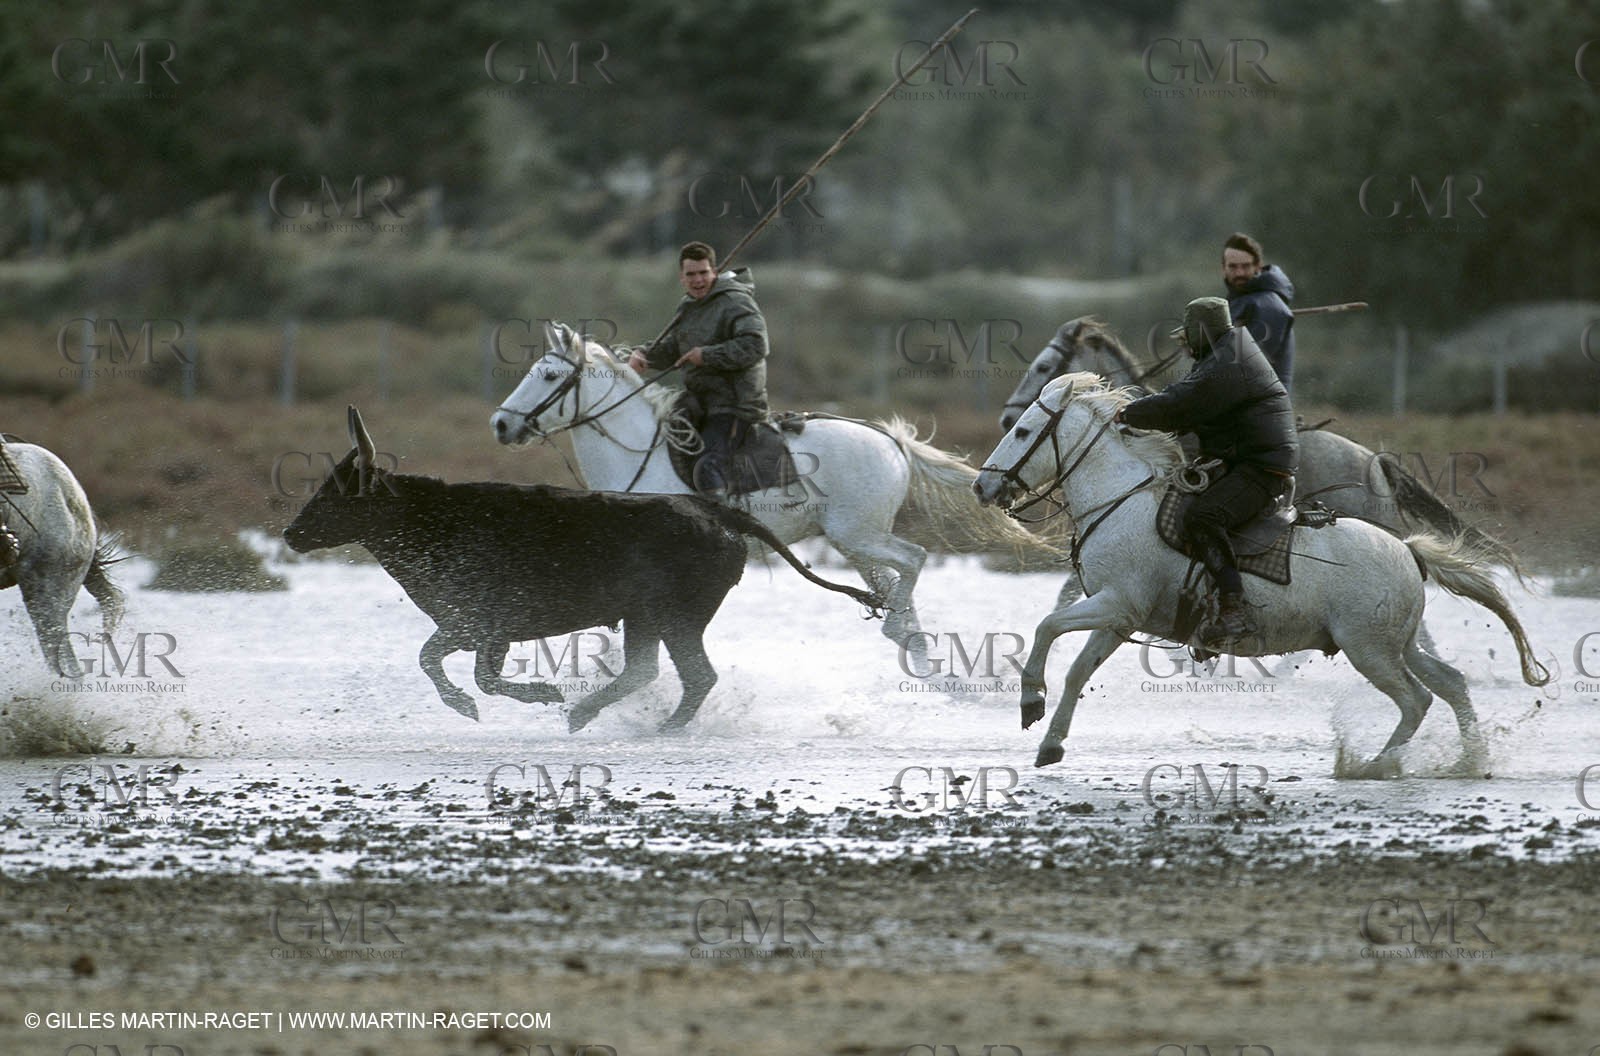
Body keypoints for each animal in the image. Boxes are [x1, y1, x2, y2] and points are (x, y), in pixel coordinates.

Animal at [283, 408, 881, 731]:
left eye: (337, 493)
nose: (291, 534)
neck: (431, 521)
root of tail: (718, 513)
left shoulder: (482, 625)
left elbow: (465, 671)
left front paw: (533, 696)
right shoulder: (471, 628)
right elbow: (447, 664)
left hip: (678, 617)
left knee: (696, 676)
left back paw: (654, 727)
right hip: (646, 617)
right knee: (647, 671)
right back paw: (586, 713)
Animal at [489, 321, 1054, 661]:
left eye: (549, 375)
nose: (500, 424)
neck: (638, 454)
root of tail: (891, 440)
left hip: (857, 533)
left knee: (912, 560)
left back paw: (898, 630)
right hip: (853, 540)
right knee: (896, 584)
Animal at [974, 372, 1551, 777]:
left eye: (1023, 430)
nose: (982, 486)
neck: (1123, 501)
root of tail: (1409, 552)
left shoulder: (1116, 604)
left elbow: (1047, 628)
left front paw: (1030, 701)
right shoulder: (1120, 619)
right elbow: (1077, 671)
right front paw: (1051, 742)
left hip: (1369, 649)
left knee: (1416, 700)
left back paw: (1373, 766)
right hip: (1396, 644)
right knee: (1450, 685)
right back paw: (1467, 762)